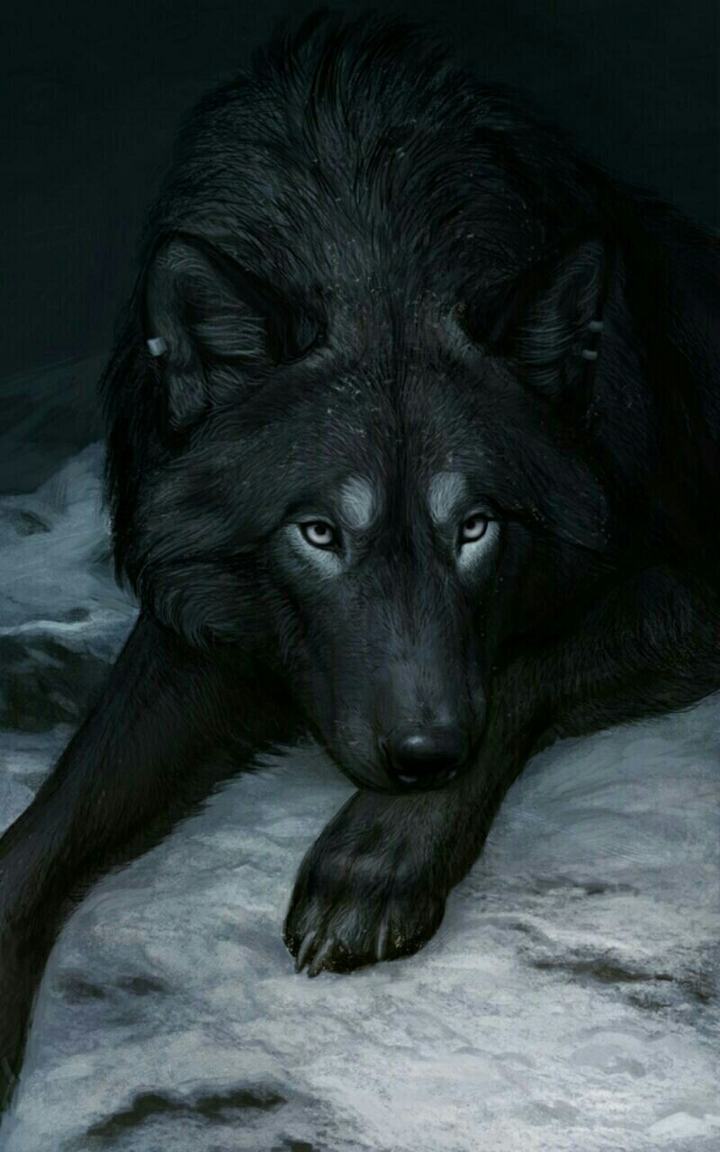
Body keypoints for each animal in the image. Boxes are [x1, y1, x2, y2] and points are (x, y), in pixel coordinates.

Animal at [1, 9, 718, 1106]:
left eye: (476, 528)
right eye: (320, 534)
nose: (425, 758)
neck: (369, 226)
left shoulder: (694, 584)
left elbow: (519, 668)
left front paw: (376, 856)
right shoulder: (200, 623)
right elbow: (51, 820)